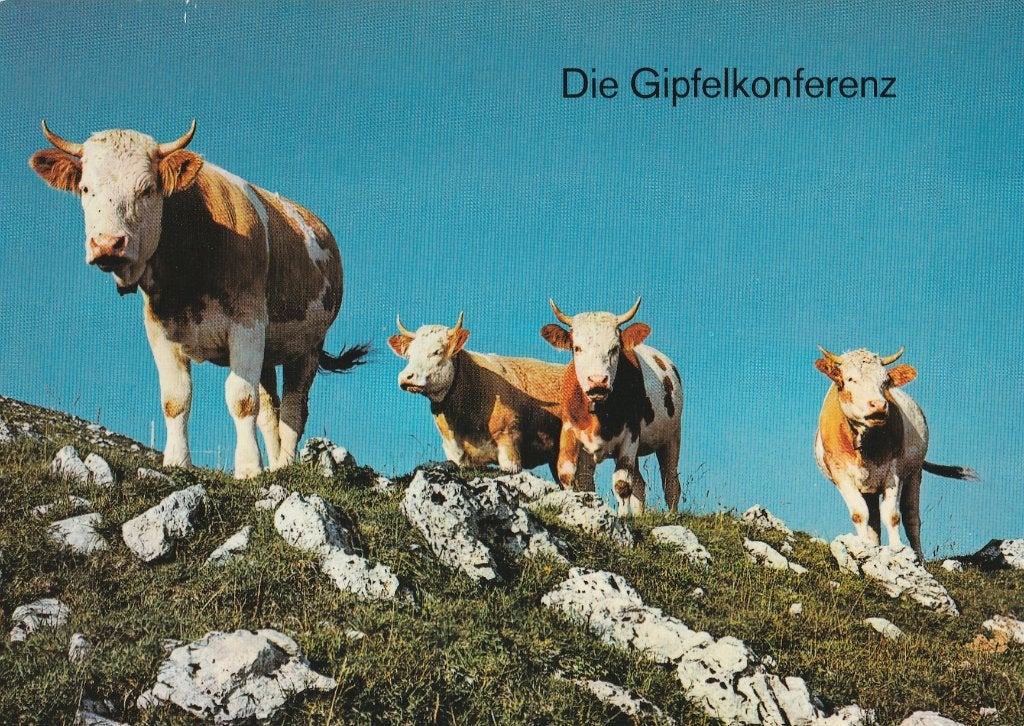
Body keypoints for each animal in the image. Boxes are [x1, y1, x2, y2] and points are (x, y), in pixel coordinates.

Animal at [30, 120, 367, 478]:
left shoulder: (247, 324)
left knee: (293, 410)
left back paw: (284, 465)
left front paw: (249, 468)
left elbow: (242, 399)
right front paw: (177, 460)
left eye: (147, 189)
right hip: (269, 353)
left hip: (308, 346)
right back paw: (275, 464)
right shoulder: (161, 331)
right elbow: (175, 398)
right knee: (270, 412)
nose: (108, 243)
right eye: (85, 188)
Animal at [541, 297, 683, 516]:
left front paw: (623, 517)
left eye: (615, 348)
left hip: (672, 437)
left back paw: (671, 515)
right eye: (576, 348)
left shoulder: (631, 434)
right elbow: (569, 476)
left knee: (671, 483)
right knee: (639, 484)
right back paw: (639, 516)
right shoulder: (569, 431)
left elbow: (622, 484)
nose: (597, 381)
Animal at [814, 346, 978, 560]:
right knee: (874, 520)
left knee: (911, 518)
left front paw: (898, 549)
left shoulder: (894, 472)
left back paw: (919, 558)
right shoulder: (840, 473)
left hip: (915, 473)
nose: (878, 405)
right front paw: (864, 546)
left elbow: (892, 515)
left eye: (885, 382)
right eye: (850, 379)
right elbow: (859, 513)